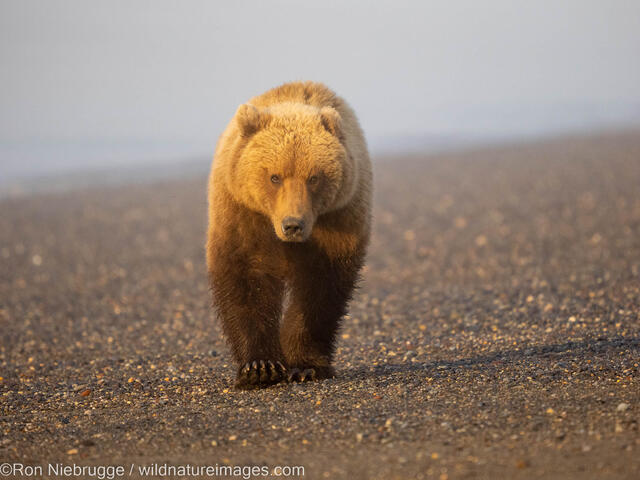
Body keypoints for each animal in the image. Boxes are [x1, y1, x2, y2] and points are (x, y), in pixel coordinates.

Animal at [206, 81, 372, 389]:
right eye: (274, 177)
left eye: (314, 177)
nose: (292, 225)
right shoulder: (242, 213)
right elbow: (246, 276)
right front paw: (260, 367)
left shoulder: (337, 218)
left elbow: (320, 287)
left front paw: (305, 366)